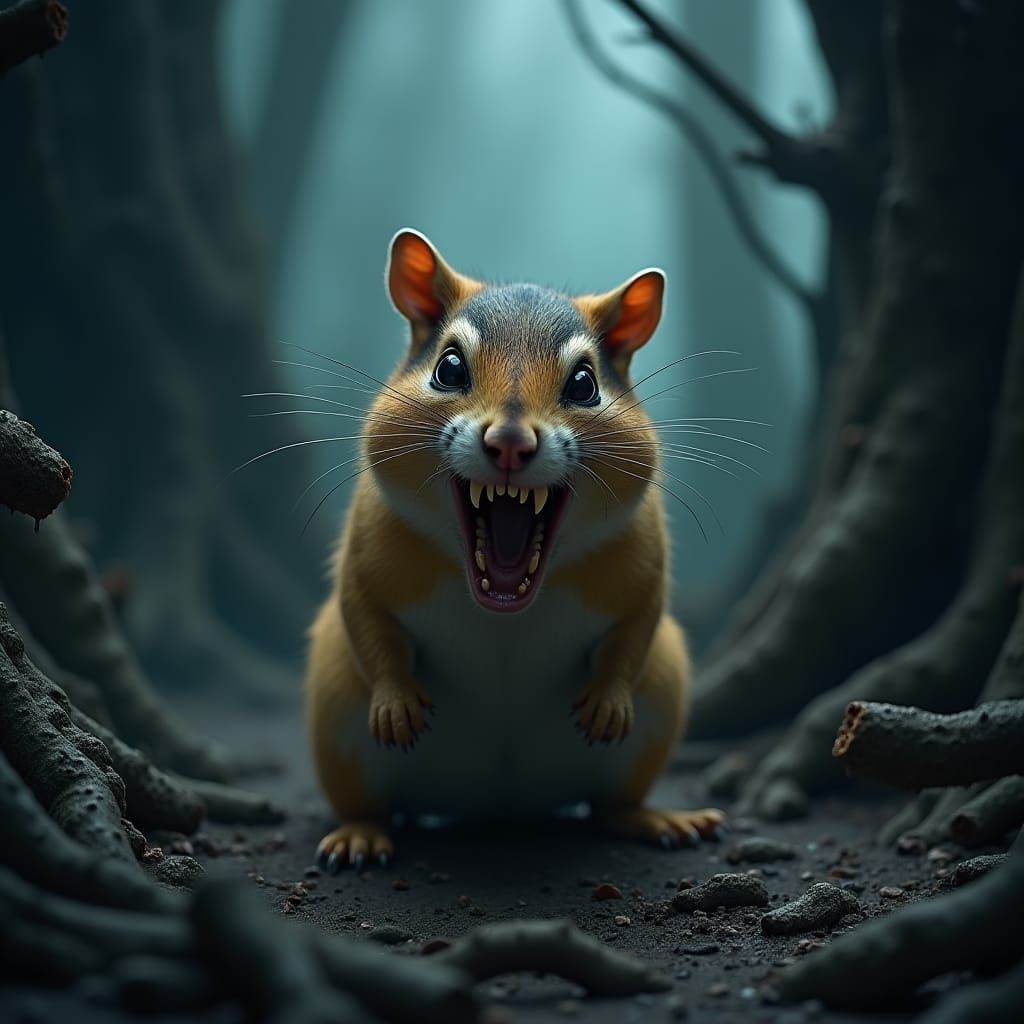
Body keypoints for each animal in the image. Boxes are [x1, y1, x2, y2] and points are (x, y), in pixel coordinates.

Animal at [306, 229, 724, 871]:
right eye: (448, 367)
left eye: (585, 384)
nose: (508, 441)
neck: (504, 610)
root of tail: (500, 807)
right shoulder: (368, 553)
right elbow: (365, 618)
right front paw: (395, 704)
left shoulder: (641, 563)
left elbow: (638, 625)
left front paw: (609, 703)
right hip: (338, 730)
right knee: (373, 806)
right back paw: (360, 834)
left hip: (657, 710)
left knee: (610, 806)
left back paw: (657, 819)